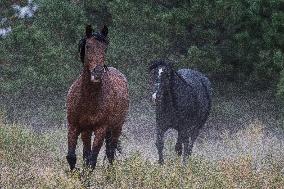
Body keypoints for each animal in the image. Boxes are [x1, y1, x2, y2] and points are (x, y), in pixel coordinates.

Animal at [66, 24, 129, 170]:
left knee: (110, 153)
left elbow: (92, 160)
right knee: (86, 153)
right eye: (88, 46)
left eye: (105, 48)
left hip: (116, 127)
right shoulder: (74, 126)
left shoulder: (101, 129)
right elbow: (72, 157)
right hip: (87, 131)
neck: (87, 99)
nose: (98, 72)